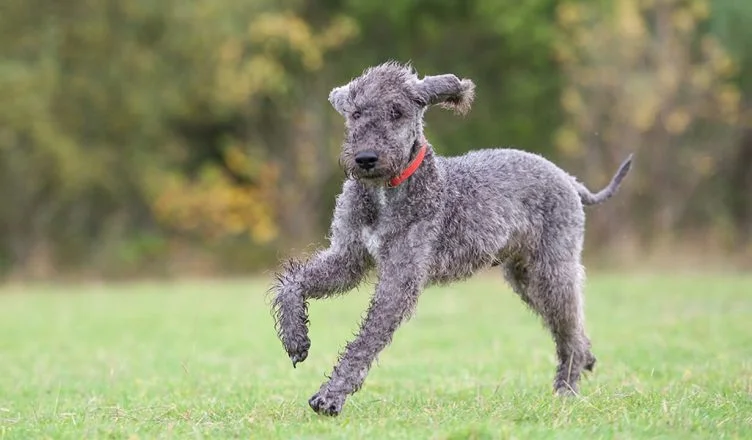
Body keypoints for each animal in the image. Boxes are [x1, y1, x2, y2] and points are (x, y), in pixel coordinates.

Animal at [268, 61, 632, 416]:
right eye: (356, 113)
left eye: (397, 111)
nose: (366, 158)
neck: (387, 191)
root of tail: (568, 179)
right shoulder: (348, 258)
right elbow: (295, 282)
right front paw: (295, 338)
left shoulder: (400, 278)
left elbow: (365, 341)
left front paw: (331, 396)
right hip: (525, 277)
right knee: (573, 328)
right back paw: (584, 363)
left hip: (552, 270)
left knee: (569, 330)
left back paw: (567, 388)